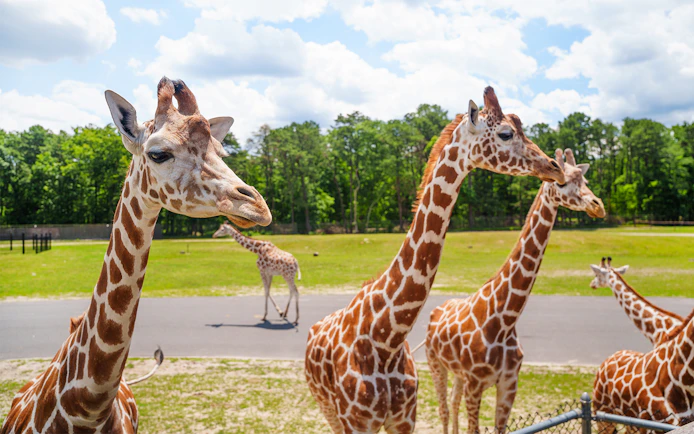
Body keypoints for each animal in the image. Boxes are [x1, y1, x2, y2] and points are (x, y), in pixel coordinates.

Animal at [304, 87, 567, 434]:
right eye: (506, 133)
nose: (555, 167)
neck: (385, 338)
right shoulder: (357, 421)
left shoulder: (405, 418)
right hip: (328, 409)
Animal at [419, 149, 605, 434]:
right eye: (563, 184)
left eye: (585, 180)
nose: (598, 206)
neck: (505, 320)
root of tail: (434, 314)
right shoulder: (476, 384)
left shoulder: (508, 384)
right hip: (435, 363)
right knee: (443, 409)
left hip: (457, 373)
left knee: (452, 402)